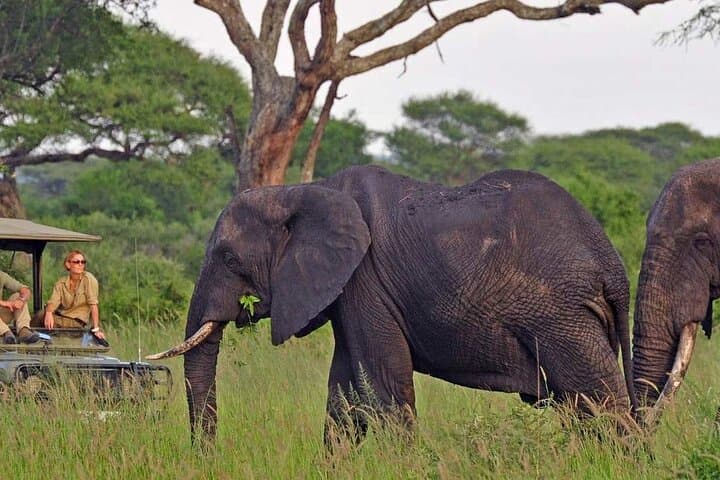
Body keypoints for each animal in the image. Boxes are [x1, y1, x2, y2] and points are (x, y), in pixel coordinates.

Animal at [149, 164, 635, 444]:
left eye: (230, 259)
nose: (206, 456)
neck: (302, 190)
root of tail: (612, 265)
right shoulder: (350, 290)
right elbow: (345, 394)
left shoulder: (365, 279)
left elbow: (382, 385)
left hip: (561, 316)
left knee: (600, 404)